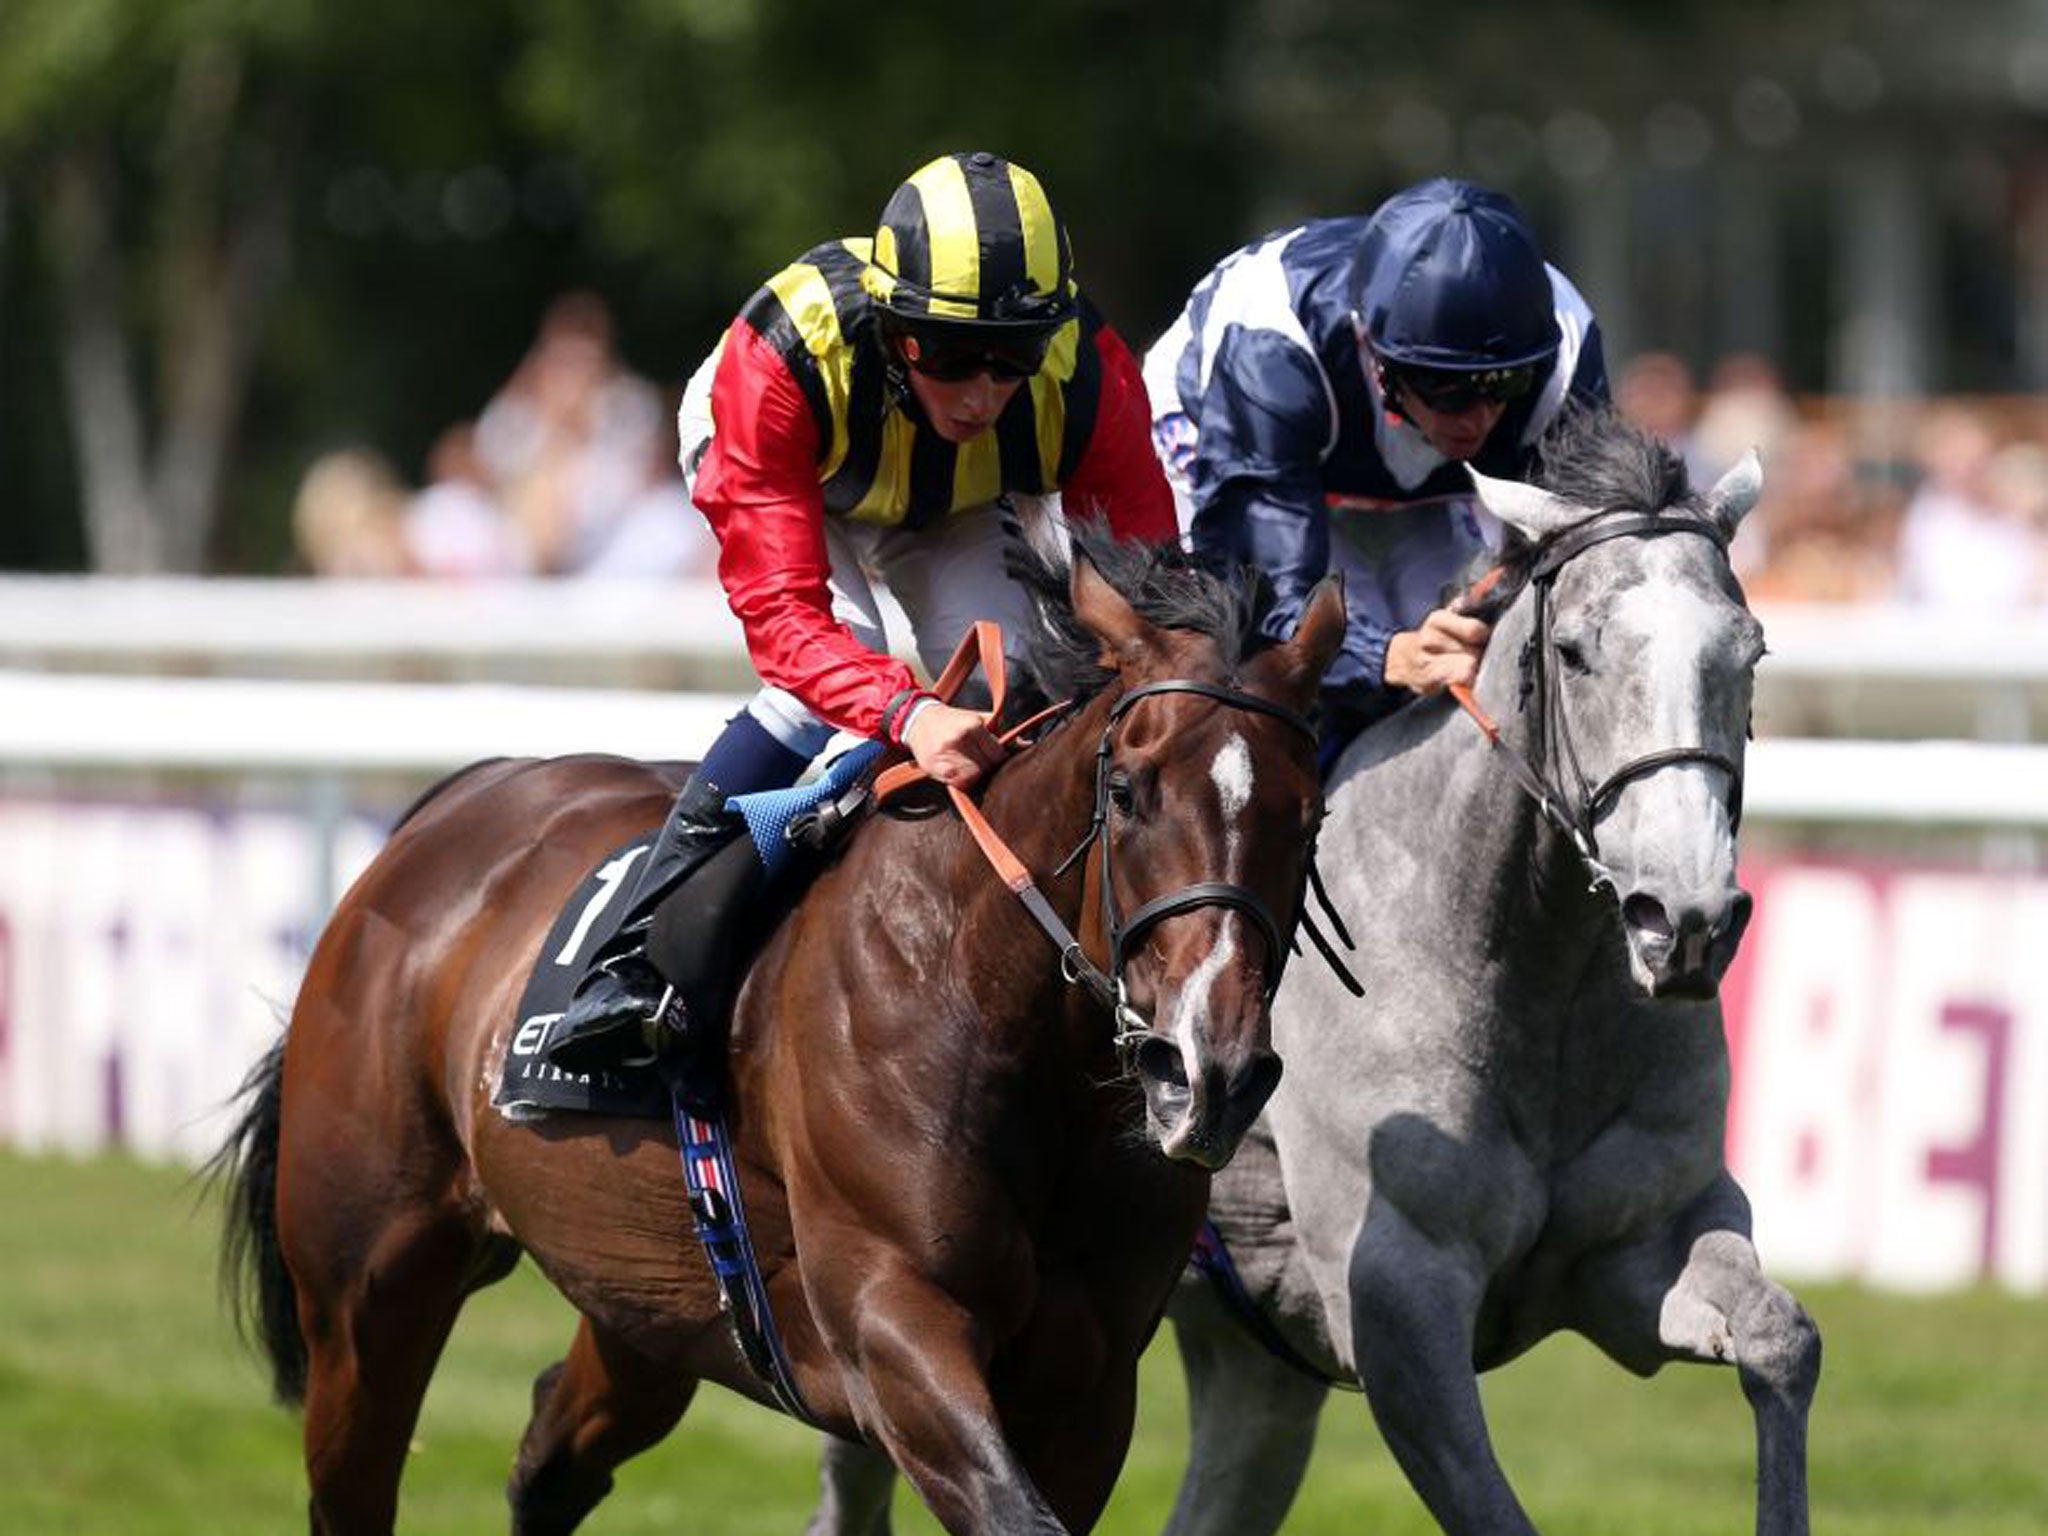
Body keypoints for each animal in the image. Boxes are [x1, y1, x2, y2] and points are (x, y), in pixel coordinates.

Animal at [220, 532, 1343, 1536]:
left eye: (1310, 815)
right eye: (1126, 790)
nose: (1207, 1072)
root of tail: (458, 797)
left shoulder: (1091, 1379)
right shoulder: (892, 1322)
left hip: (648, 1302)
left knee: (550, 1458)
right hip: (366, 1290)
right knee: (357, 1479)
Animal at [790, 411, 1818, 1536]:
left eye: (1751, 650)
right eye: (1576, 652)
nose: (1685, 919)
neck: (1529, 979)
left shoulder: (1637, 1250)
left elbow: (1783, 1341)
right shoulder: (1399, 1308)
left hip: (1254, 1369)